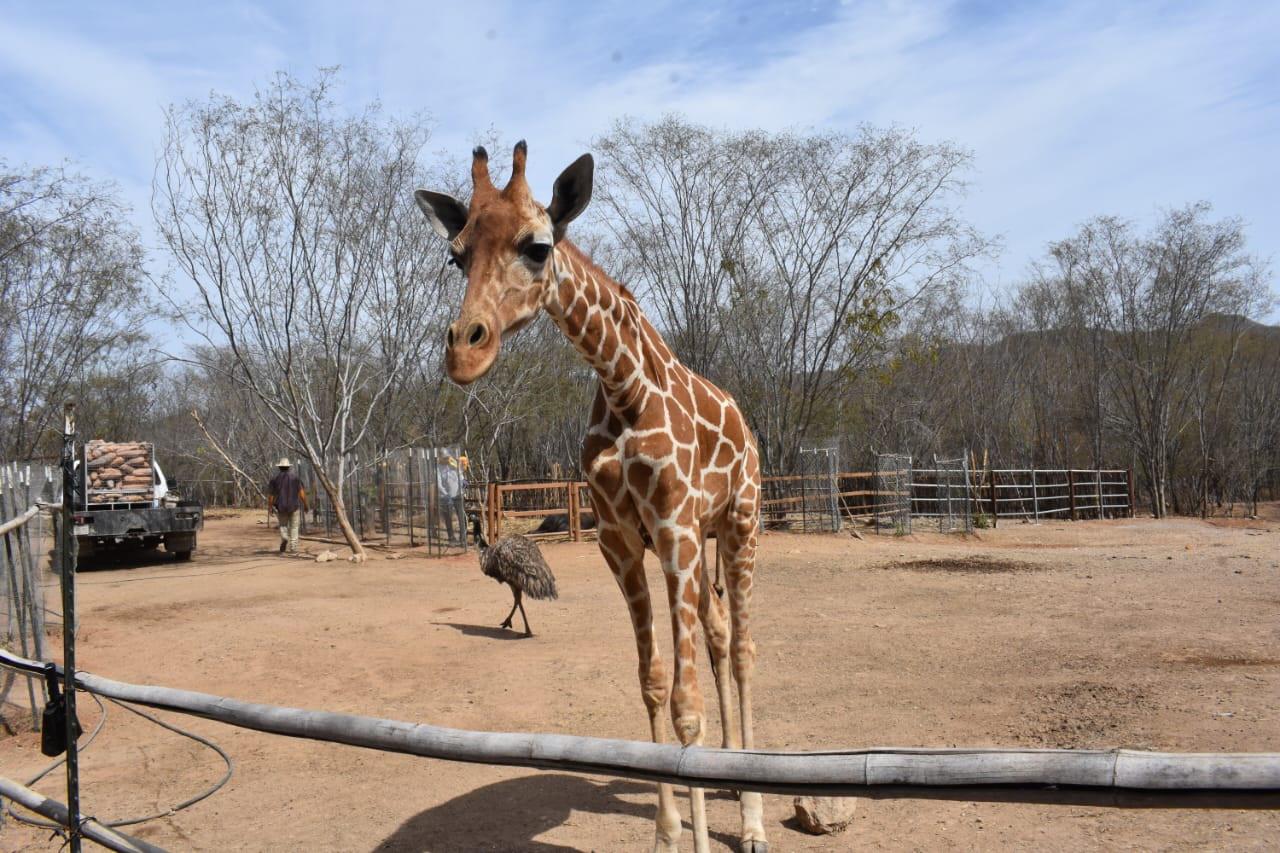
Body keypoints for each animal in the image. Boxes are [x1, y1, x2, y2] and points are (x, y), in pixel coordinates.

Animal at [414, 142, 762, 845]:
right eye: (456, 255)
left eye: (537, 246)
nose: (464, 354)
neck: (625, 386)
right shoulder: (622, 542)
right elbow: (654, 683)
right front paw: (667, 834)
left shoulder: (675, 530)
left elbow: (686, 705)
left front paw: (702, 836)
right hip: (700, 542)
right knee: (717, 635)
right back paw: (732, 774)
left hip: (741, 523)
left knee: (742, 650)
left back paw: (755, 819)